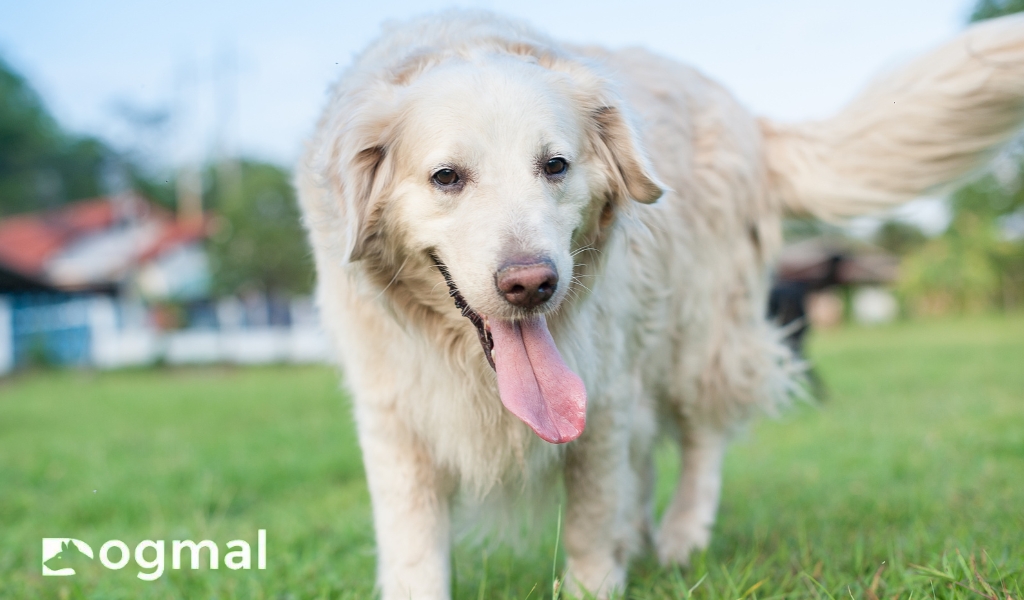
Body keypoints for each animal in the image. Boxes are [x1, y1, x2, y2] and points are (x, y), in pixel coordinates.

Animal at [296, 11, 1024, 593]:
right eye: (446, 177)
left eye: (555, 166)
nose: (532, 284)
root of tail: (744, 114)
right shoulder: (394, 422)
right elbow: (414, 554)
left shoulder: (603, 393)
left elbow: (590, 524)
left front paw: (596, 581)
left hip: (700, 333)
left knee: (703, 440)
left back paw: (680, 535)